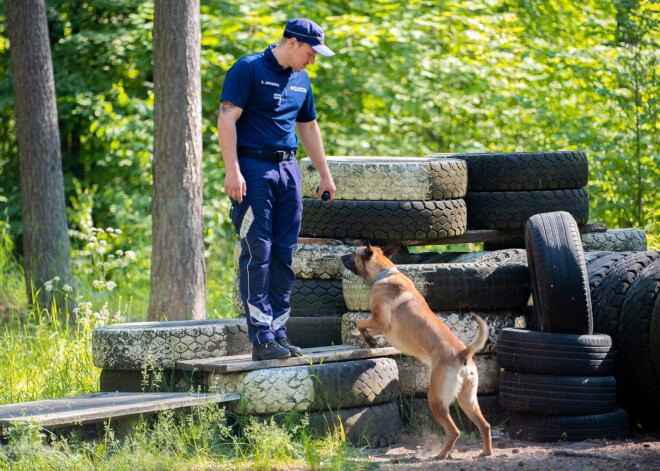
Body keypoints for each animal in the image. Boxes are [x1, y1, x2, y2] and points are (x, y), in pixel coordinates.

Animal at [340, 243, 490, 460]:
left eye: (353, 252)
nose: (340, 257)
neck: (384, 273)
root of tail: (463, 354)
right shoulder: (381, 327)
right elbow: (363, 327)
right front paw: (362, 336)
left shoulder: (381, 321)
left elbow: (361, 322)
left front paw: (367, 338)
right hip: (467, 400)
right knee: (484, 425)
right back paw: (486, 453)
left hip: (436, 400)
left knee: (454, 431)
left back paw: (440, 455)